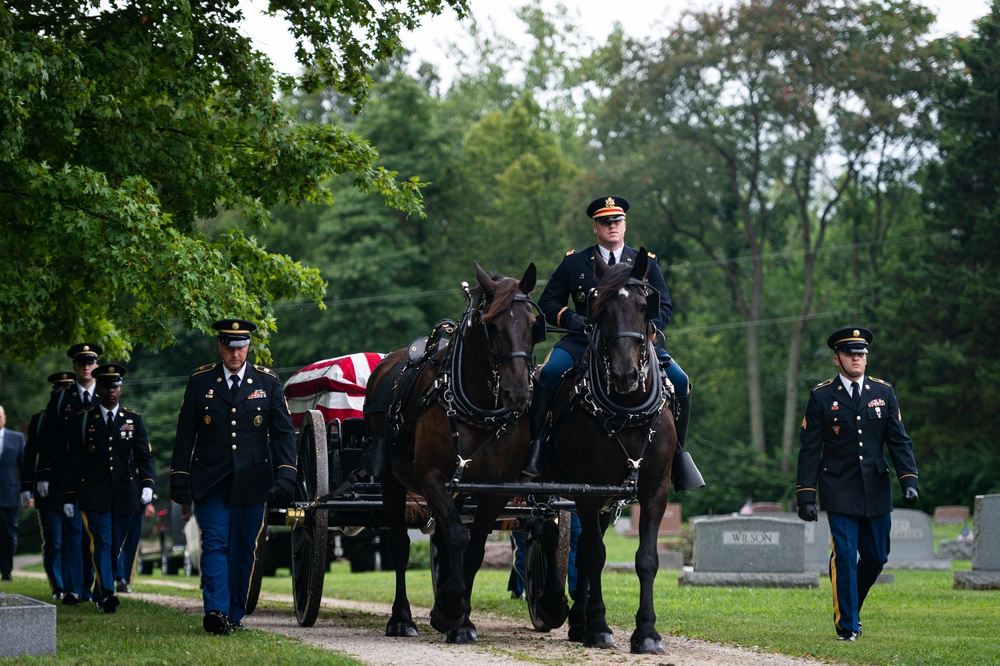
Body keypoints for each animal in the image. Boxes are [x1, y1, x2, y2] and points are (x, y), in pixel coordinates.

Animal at [366, 262, 540, 640]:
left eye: (534, 324)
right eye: (491, 324)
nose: (518, 394)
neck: (480, 410)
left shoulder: (495, 489)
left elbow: (473, 547)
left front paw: (462, 620)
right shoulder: (432, 478)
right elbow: (458, 536)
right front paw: (449, 609)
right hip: (391, 480)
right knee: (400, 545)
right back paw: (402, 618)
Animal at [536, 252, 676, 652]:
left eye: (645, 305)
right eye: (597, 307)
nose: (626, 375)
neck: (626, 411)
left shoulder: (655, 489)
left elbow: (646, 558)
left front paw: (647, 632)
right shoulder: (588, 488)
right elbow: (594, 554)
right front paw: (599, 628)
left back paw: (578, 621)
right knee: (552, 536)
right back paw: (561, 608)